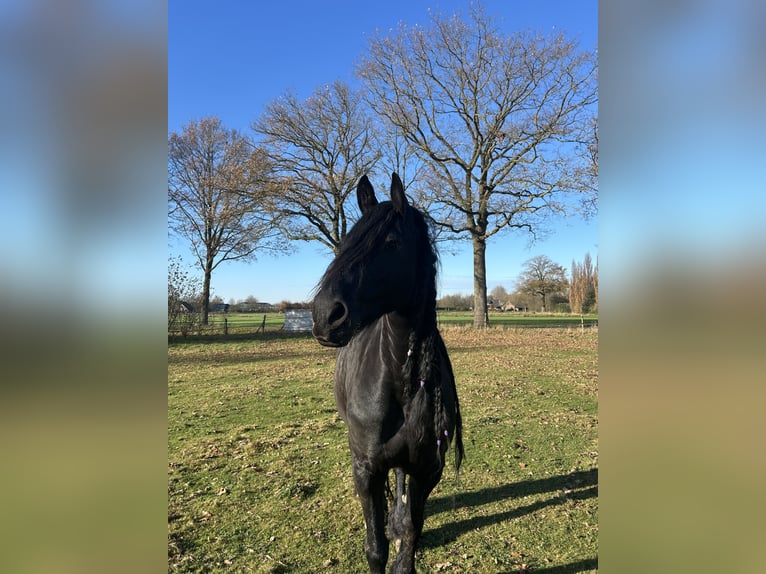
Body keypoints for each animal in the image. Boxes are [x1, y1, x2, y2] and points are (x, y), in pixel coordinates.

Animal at [312, 172, 464, 573]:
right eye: (346, 242)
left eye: (393, 243)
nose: (324, 315)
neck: (399, 378)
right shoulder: (367, 469)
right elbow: (375, 547)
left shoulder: (427, 469)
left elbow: (411, 533)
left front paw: (400, 531)